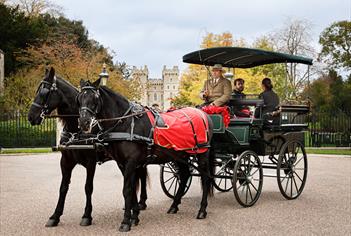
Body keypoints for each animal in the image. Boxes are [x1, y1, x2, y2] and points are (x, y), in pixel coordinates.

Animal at [27, 67, 148, 228]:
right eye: (79, 99)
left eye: (45, 92)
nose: (31, 116)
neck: (76, 130)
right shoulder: (65, 162)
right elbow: (63, 188)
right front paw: (55, 216)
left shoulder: (90, 162)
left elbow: (88, 187)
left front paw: (87, 215)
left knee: (140, 176)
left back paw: (141, 203)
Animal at [77, 78, 214, 231]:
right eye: (79, 98)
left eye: (95, 98)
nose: (83, 122)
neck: (126, 123)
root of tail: (204, 114)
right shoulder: (123, 164)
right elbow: (132, 190)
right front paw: (134, 216)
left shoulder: (131, 162)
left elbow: (127, 190)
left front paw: (126, 221)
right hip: (180, 155)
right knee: (184, 176)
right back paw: (174, 206)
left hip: (202, 153)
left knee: (205, 178)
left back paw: (202, 210)